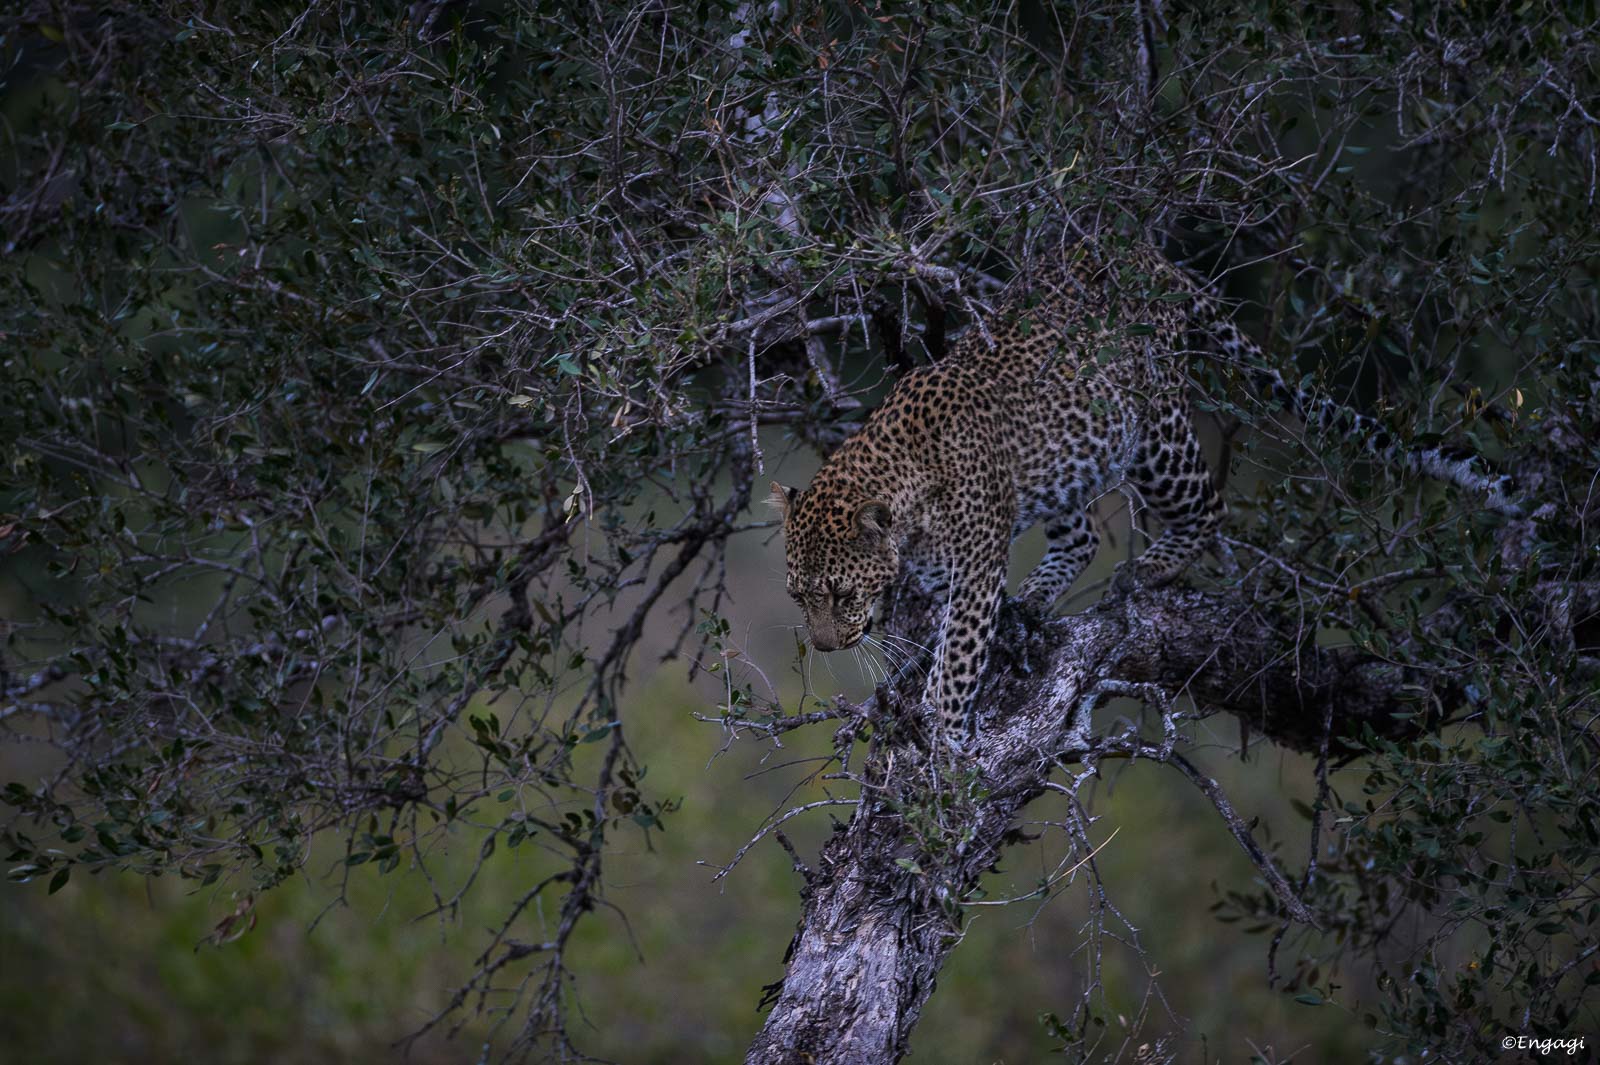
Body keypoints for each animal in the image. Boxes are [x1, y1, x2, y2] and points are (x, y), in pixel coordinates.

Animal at [770, 238, 1242, 746]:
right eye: (797, 597)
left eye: (843, 594)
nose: (825, 647)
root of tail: (1147, 252)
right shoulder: (948, 570)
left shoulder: (977, 569)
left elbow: (958, 657)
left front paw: (945, 739)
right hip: (1062, 460)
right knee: (1084, 537)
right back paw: (1033, 597)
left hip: (1157, 433)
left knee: (1210, 507)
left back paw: (1148, 569)